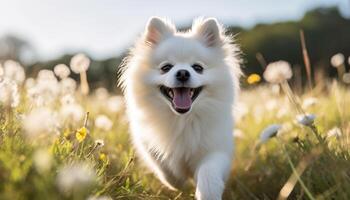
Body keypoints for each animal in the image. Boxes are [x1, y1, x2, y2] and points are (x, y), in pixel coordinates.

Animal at [119, 16, 242, 199]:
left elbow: (208, 172)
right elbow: (165, 168)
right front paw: (178, 183)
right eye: (166, 68)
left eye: (198, 68)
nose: (183, 73)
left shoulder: (217, 149)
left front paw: (207, 192)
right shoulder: (148, 144)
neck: (182, 119)